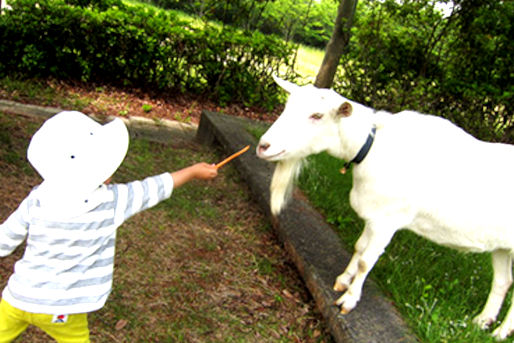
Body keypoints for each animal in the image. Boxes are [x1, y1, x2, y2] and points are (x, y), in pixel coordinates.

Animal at [256, 76, 514, 342]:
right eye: (287, 106)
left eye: (317, 115)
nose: (264, 146)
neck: (371, 147)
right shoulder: (375, 215)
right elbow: (359, 247)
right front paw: (343, 280)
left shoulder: (388, 220)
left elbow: (366, 261)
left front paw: (348, 300)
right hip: (501, 245)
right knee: (503, 281)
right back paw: (482, 322)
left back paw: (501, 331)